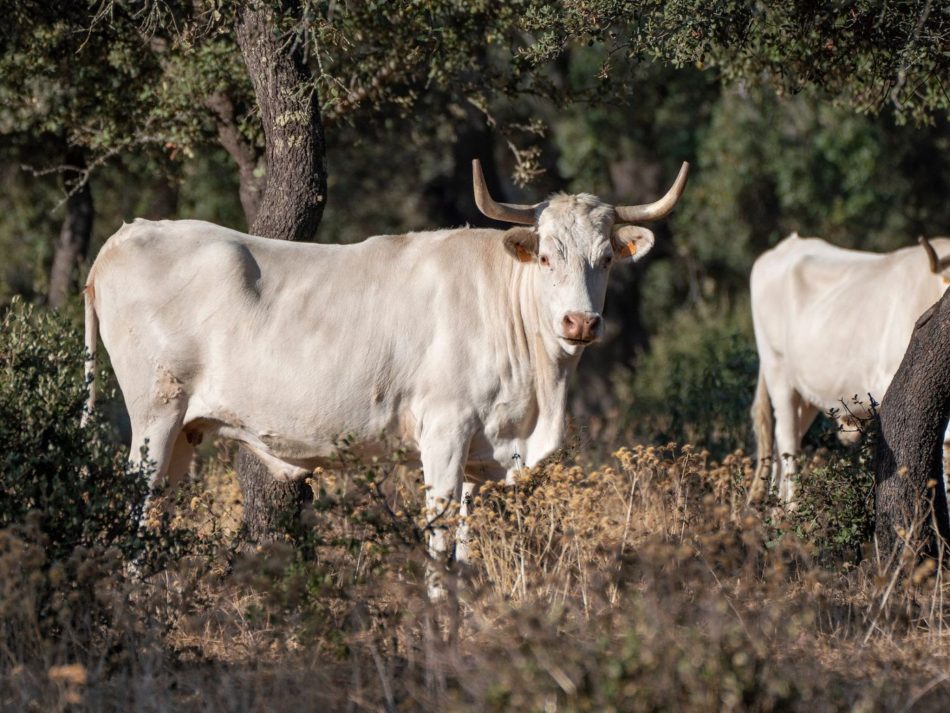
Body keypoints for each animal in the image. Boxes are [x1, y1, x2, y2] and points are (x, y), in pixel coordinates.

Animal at [85, 159, 688, 564]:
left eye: (605, 258)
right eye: (544, 257)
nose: (580, 323)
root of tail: (129, 233)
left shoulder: (480, 458)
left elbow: (466, 551)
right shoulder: (443, 436)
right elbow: (439, 548)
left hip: (183, 434)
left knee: (157, 518)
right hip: (154, 416)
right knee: (135, 513)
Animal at [752, 231, 950, 504]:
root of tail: (788, 243)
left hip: (805, 393)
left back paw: (777, 509)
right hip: (778, 371)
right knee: (787, 443)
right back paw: (790, 508)